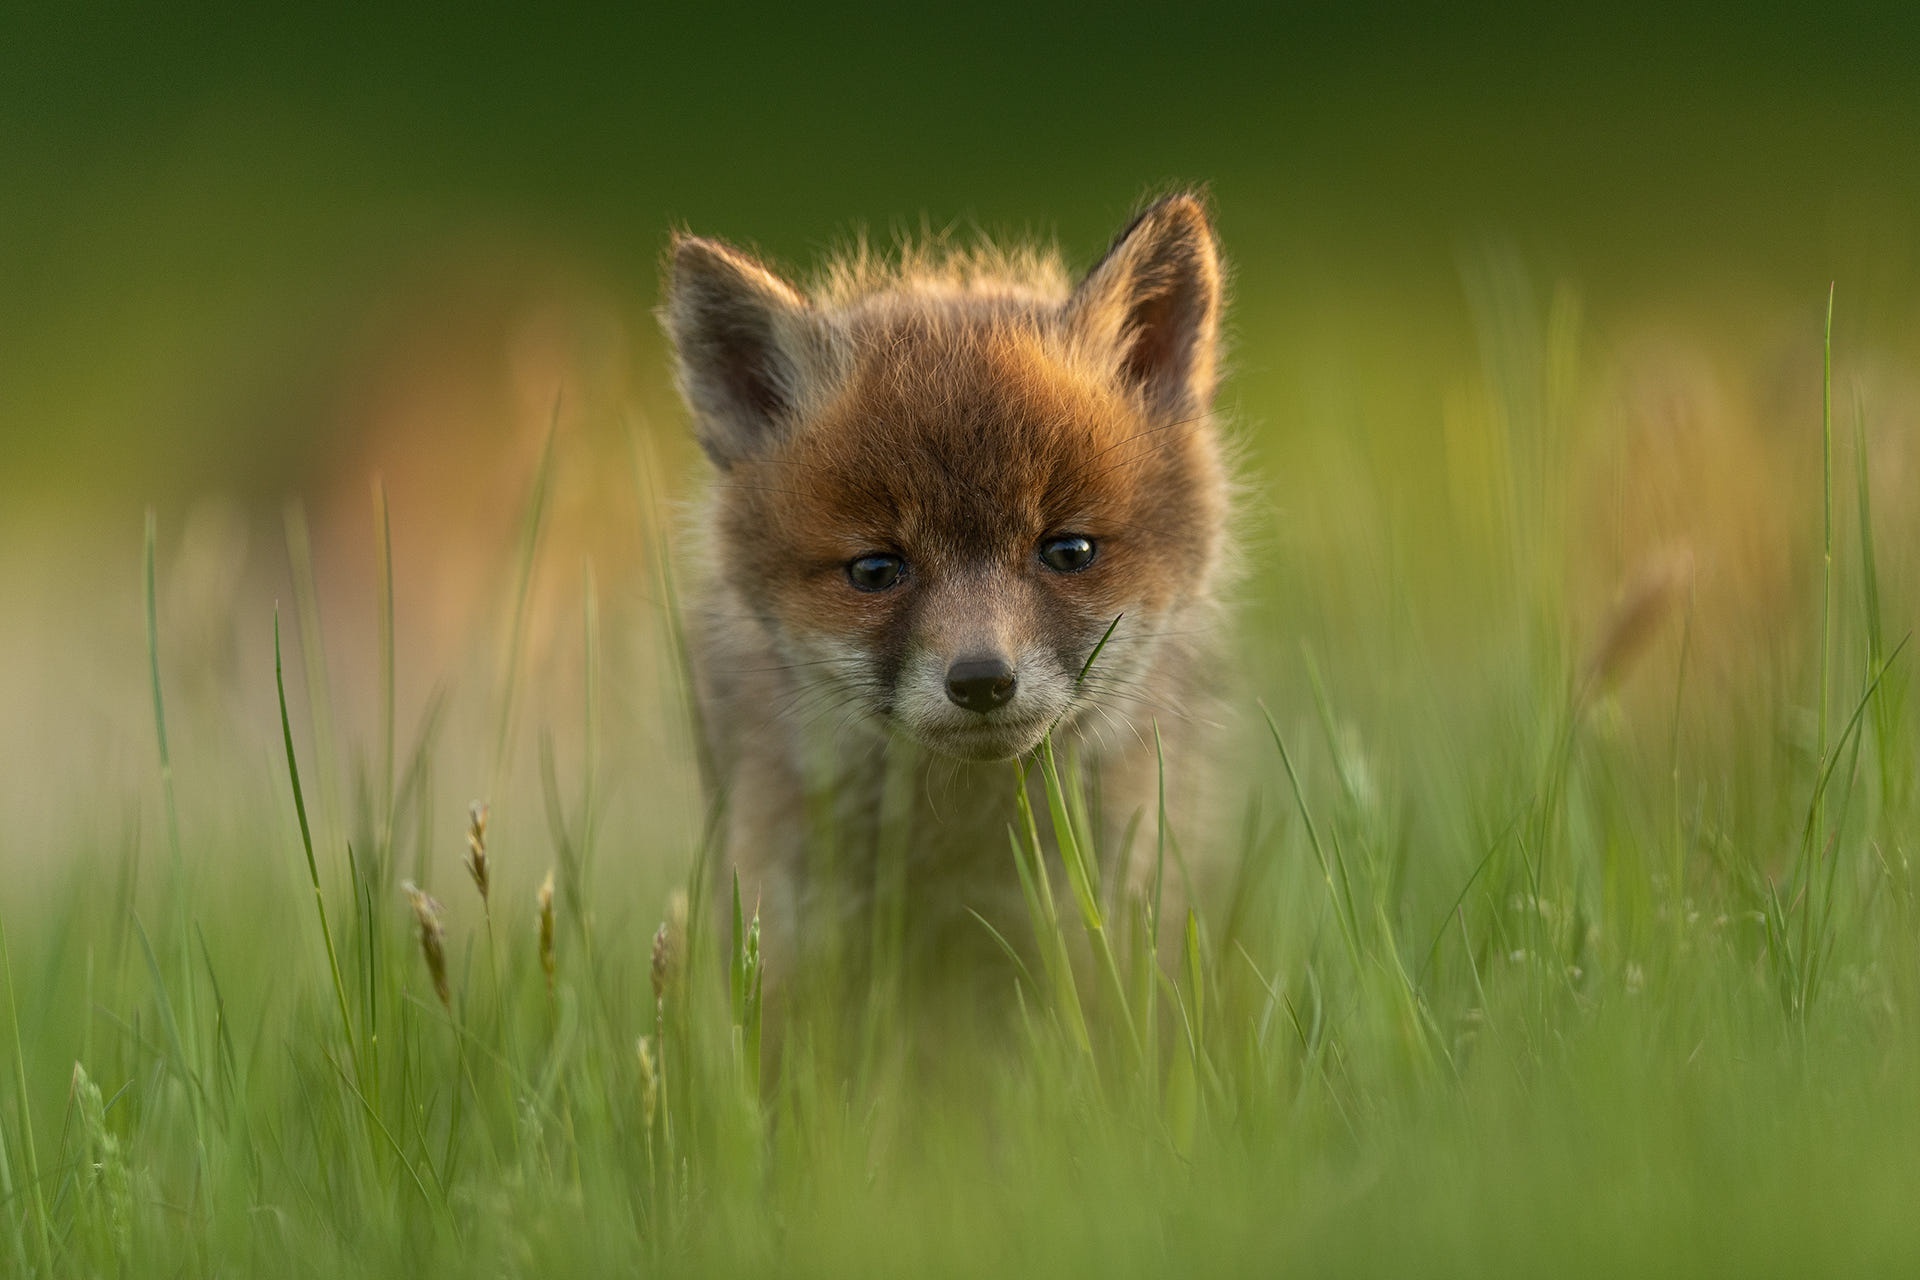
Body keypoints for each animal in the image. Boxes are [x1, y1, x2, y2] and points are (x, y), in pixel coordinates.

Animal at [661, 193, 1233, 1008]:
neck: (958, 839)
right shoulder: (797, 933)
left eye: (1069, 552)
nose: (983, 680)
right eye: (875, 570)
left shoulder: (1094, 926)